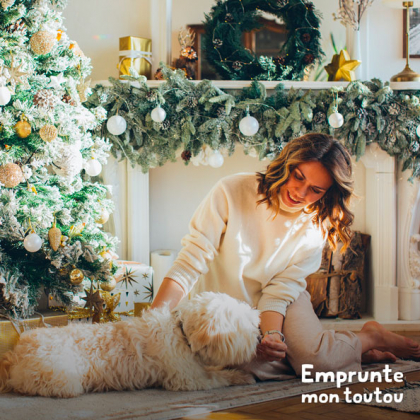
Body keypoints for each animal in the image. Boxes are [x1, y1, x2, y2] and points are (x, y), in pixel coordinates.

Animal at [0, 292, 260, 398]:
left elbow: (215, 370)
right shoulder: (189, 379)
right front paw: (240, 376)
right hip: (64, 379)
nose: (259, 338)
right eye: (245, 325)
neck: (182, 332)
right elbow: (218, 378)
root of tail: (15, 356)